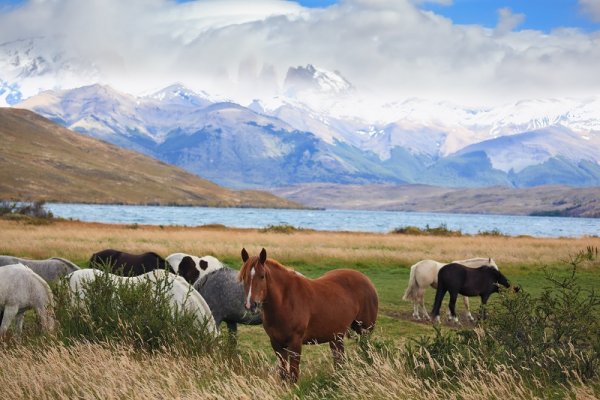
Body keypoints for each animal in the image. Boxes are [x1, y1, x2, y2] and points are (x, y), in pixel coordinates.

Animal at [237, 247, 378, 382]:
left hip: (364, 332)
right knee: (339, 361)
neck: (285, 301)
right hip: (336, 337)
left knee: (367, 353)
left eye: (262, 276)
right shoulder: (276, 344)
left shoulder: (295, 344)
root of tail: (367, 281)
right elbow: (283, 376)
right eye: (244, 277)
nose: (251, 305)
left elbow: (293, 376)